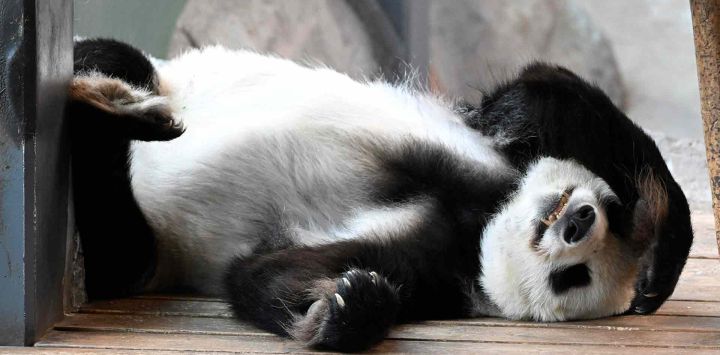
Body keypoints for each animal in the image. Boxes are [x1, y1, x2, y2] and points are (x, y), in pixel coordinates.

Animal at [70, 39, 696, 354]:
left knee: (113, 238)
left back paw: (109, 112)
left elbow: (263, 274)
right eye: (611, 214)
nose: (577, 223)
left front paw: (348, 308)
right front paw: (658, 262)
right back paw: (119, 95)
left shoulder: (434, 267)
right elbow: (543, 93)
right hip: (166, 76)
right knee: (118, 57)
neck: (480, 223)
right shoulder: (484, 164)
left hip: (141, 251)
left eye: (574, 277)